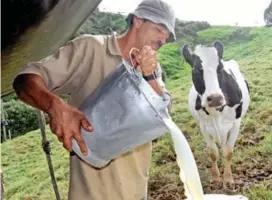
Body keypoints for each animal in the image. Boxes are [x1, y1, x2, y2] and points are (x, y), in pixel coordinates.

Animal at [181, 41, 251, 188]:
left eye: (220, 68)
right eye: (195, 70)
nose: (215, 98)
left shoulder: (235, 124)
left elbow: (228, 152)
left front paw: (228, 179)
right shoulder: (204, 127)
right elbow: (212, 152)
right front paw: (215, 177)